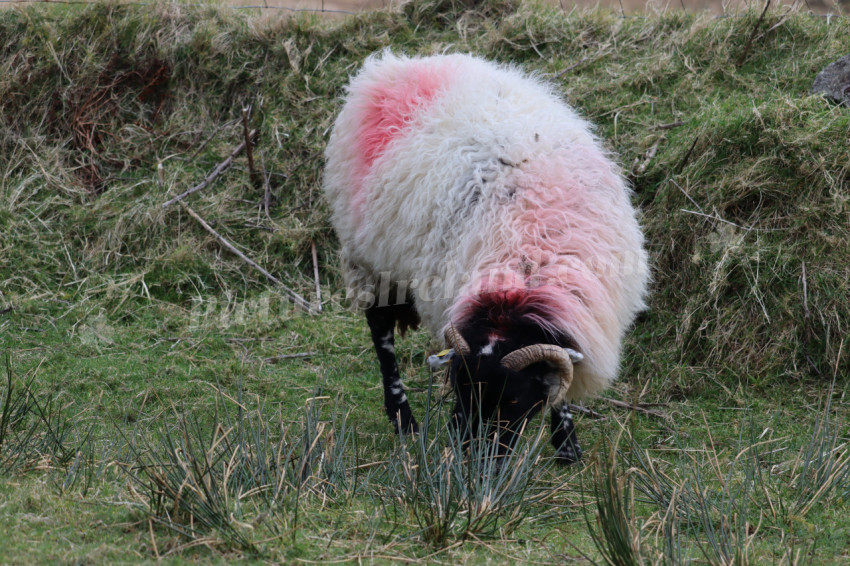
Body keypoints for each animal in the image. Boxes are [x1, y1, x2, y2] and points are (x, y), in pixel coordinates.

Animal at [322, 51, 650, 463]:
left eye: (512, 399)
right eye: (462, 389)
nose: (474, 456)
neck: (525, 270)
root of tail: (390, 67)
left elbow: (560, 386)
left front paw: (567, 446)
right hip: (367, 258)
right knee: (381, 334)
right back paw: (403, 419)